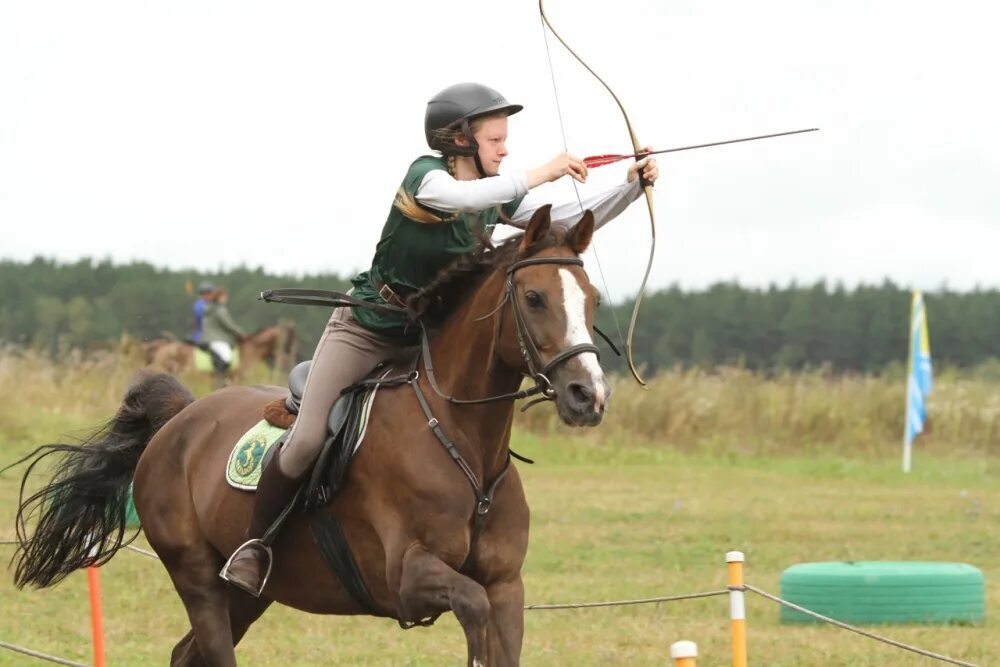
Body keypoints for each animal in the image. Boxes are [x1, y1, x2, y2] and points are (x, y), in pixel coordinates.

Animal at [11, 206, 608, 664]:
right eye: (533, 299)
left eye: (594, 300)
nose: (588, 395)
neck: (462, 440)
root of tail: (182, 417)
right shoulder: (408, 577)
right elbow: (471, 606)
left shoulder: (507, 586)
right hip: (197, 574)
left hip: (250, 593)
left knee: (188, 653)